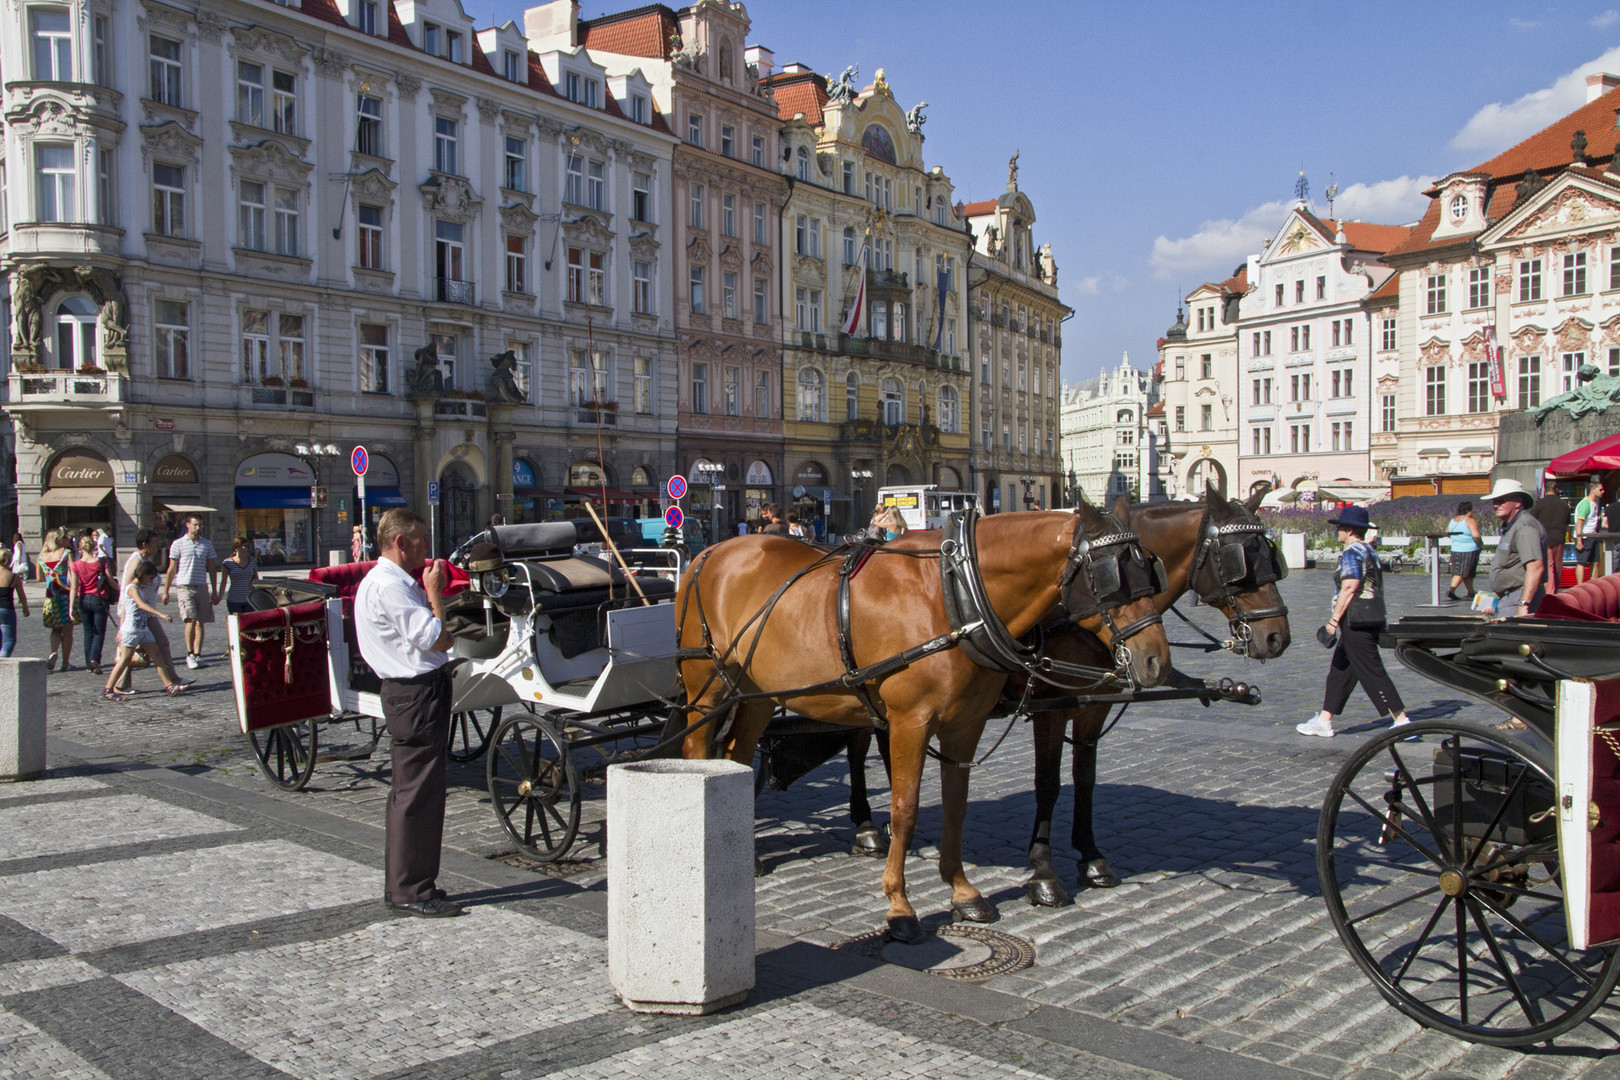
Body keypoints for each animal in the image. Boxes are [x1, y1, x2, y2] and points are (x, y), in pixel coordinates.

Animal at [677, 501, 1172, 939]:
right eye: (1110, 577)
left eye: (1151, 570)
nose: (1155, 662)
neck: (955, 596)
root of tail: (707, 553)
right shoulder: (909, 723)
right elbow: (906, 807)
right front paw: (900, 906)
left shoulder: (965, 725)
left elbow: (956, 804)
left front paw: (962, 891)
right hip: (707, 688)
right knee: (698, 749)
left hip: (757, 692)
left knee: (738, 755)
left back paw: (748, 854)